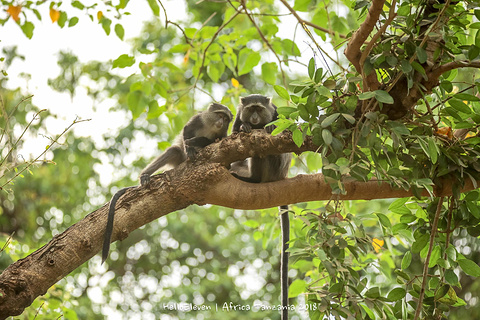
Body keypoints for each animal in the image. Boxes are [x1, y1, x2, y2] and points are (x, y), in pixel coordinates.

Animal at [102, 104, 233, 264]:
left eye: (226, 119)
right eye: (219, 115)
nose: (221, 122)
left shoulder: (223, 133)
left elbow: (216, 139)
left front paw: (199, 143)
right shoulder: (198, 119)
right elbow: (187, 130)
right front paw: (190, 147)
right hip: (179, 158)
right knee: (174, 150)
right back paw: (144, 176)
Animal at [230, 94, 290, 318]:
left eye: (259, 109)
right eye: (250, 109)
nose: (254, 118)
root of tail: (281, 177)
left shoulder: (276, 112)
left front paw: (269, 126)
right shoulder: (238, 115)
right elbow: (234, 132)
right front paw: (244, 126)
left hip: (274, 166)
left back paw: (253, 179)